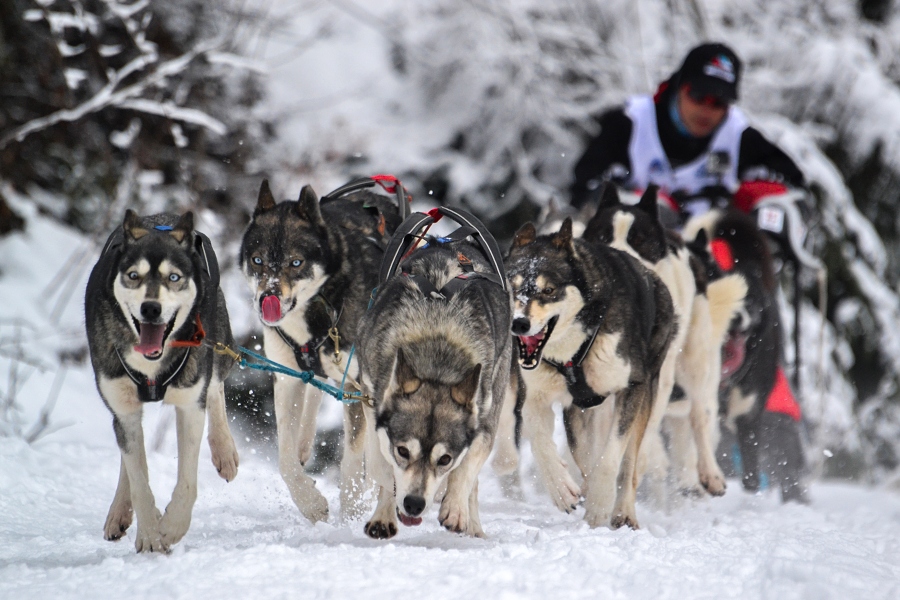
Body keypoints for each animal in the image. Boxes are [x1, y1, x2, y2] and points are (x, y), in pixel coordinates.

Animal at [84, 211, 237, 552]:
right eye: (133, 276)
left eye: (174, 278)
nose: (151, 308)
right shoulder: (123, 409)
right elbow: (139, 480)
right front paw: (151, 535)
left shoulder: (190, 405)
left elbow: (188, 483)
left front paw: (172, 527)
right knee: (129, 459)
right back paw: (120, 511)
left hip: (217, 339)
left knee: (216, 386)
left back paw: (224, 450)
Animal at [243, 177, 404, 520]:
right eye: (257, 260)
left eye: (296, 262)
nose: (268, 298)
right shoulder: (285, 376)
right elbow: (285, 458)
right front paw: (311, 503)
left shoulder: (357, 387)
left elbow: (353, 458)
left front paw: (352, 508)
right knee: (314, 389)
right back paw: (305, 443)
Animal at [358, 214, 512, 540]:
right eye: (403, 450)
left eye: (444, 458)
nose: (414, 504)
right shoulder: (369, 393)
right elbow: (381, 464)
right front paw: (386, 506)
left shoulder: (483, 422)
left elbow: (465, 469)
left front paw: (454, 507)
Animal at [506, 218, 676, 528]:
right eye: (513, 289)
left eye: (548, 290)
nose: (519, 324)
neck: (573, 351)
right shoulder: (536, 397)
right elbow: (541, 442)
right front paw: (561, 488)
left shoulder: (631, 387)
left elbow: (611, 459)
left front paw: (599, 506)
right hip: (580, 411)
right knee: (584, 456)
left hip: (646, 394)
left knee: (628, 465)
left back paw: (623, 512)